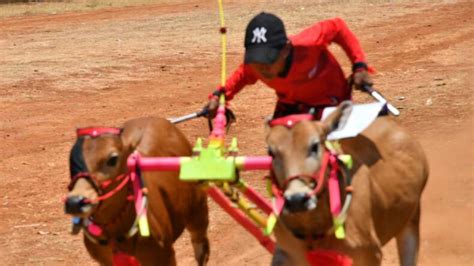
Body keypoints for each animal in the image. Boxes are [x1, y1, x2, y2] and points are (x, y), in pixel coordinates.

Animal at [64, 117, 209, 266]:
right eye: (72, 158)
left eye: (113, 159)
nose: (75, 202)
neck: (116, 234)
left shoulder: (165, 257)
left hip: (198, 214)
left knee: (201, 248)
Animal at [266, 102, 430, 266]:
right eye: (271, 152)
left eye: (314, 145)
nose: (297, 200)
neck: (314, 230)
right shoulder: (285, 252)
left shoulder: (370, 254)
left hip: (411, 221)